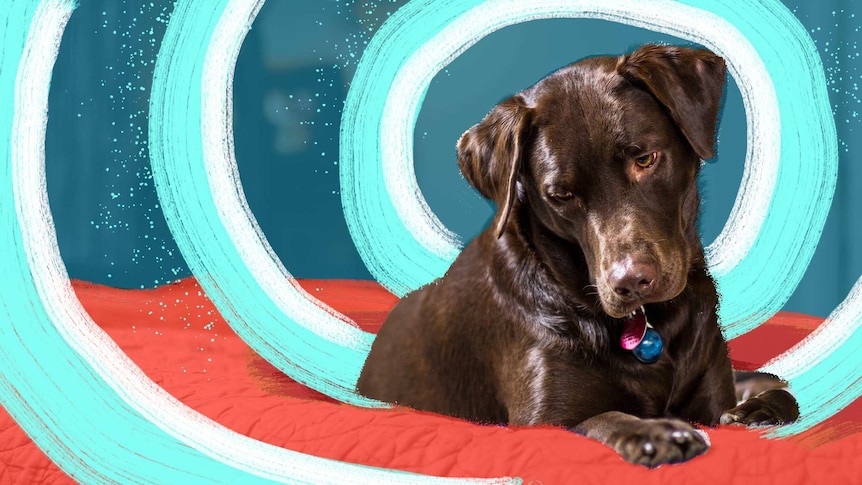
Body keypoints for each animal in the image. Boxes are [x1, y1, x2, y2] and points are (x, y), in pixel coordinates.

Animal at [354, 44, 800, 466]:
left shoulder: (710, 397)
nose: (630, 282)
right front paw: (654, 432)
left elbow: (769, 401)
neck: (650, 326)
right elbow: (602, 418)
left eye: (645, 159)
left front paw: (757, 409)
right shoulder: (542, 419)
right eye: (561, 195)